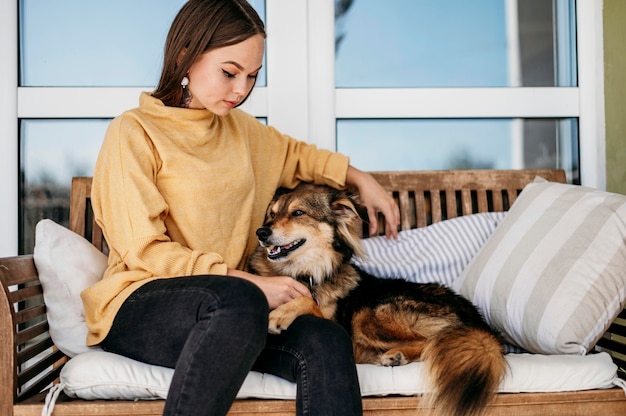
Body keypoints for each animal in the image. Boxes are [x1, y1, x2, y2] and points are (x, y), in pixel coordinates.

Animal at [246, 184, 504, 416]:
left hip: (367, 317)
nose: (261, 232)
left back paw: (398, 354)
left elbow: (308, 301)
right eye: (272, 213)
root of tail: (479, 325)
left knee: (437, 340)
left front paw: (280, 314)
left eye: (298, 212)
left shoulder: (341, 328)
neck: (302, 273)